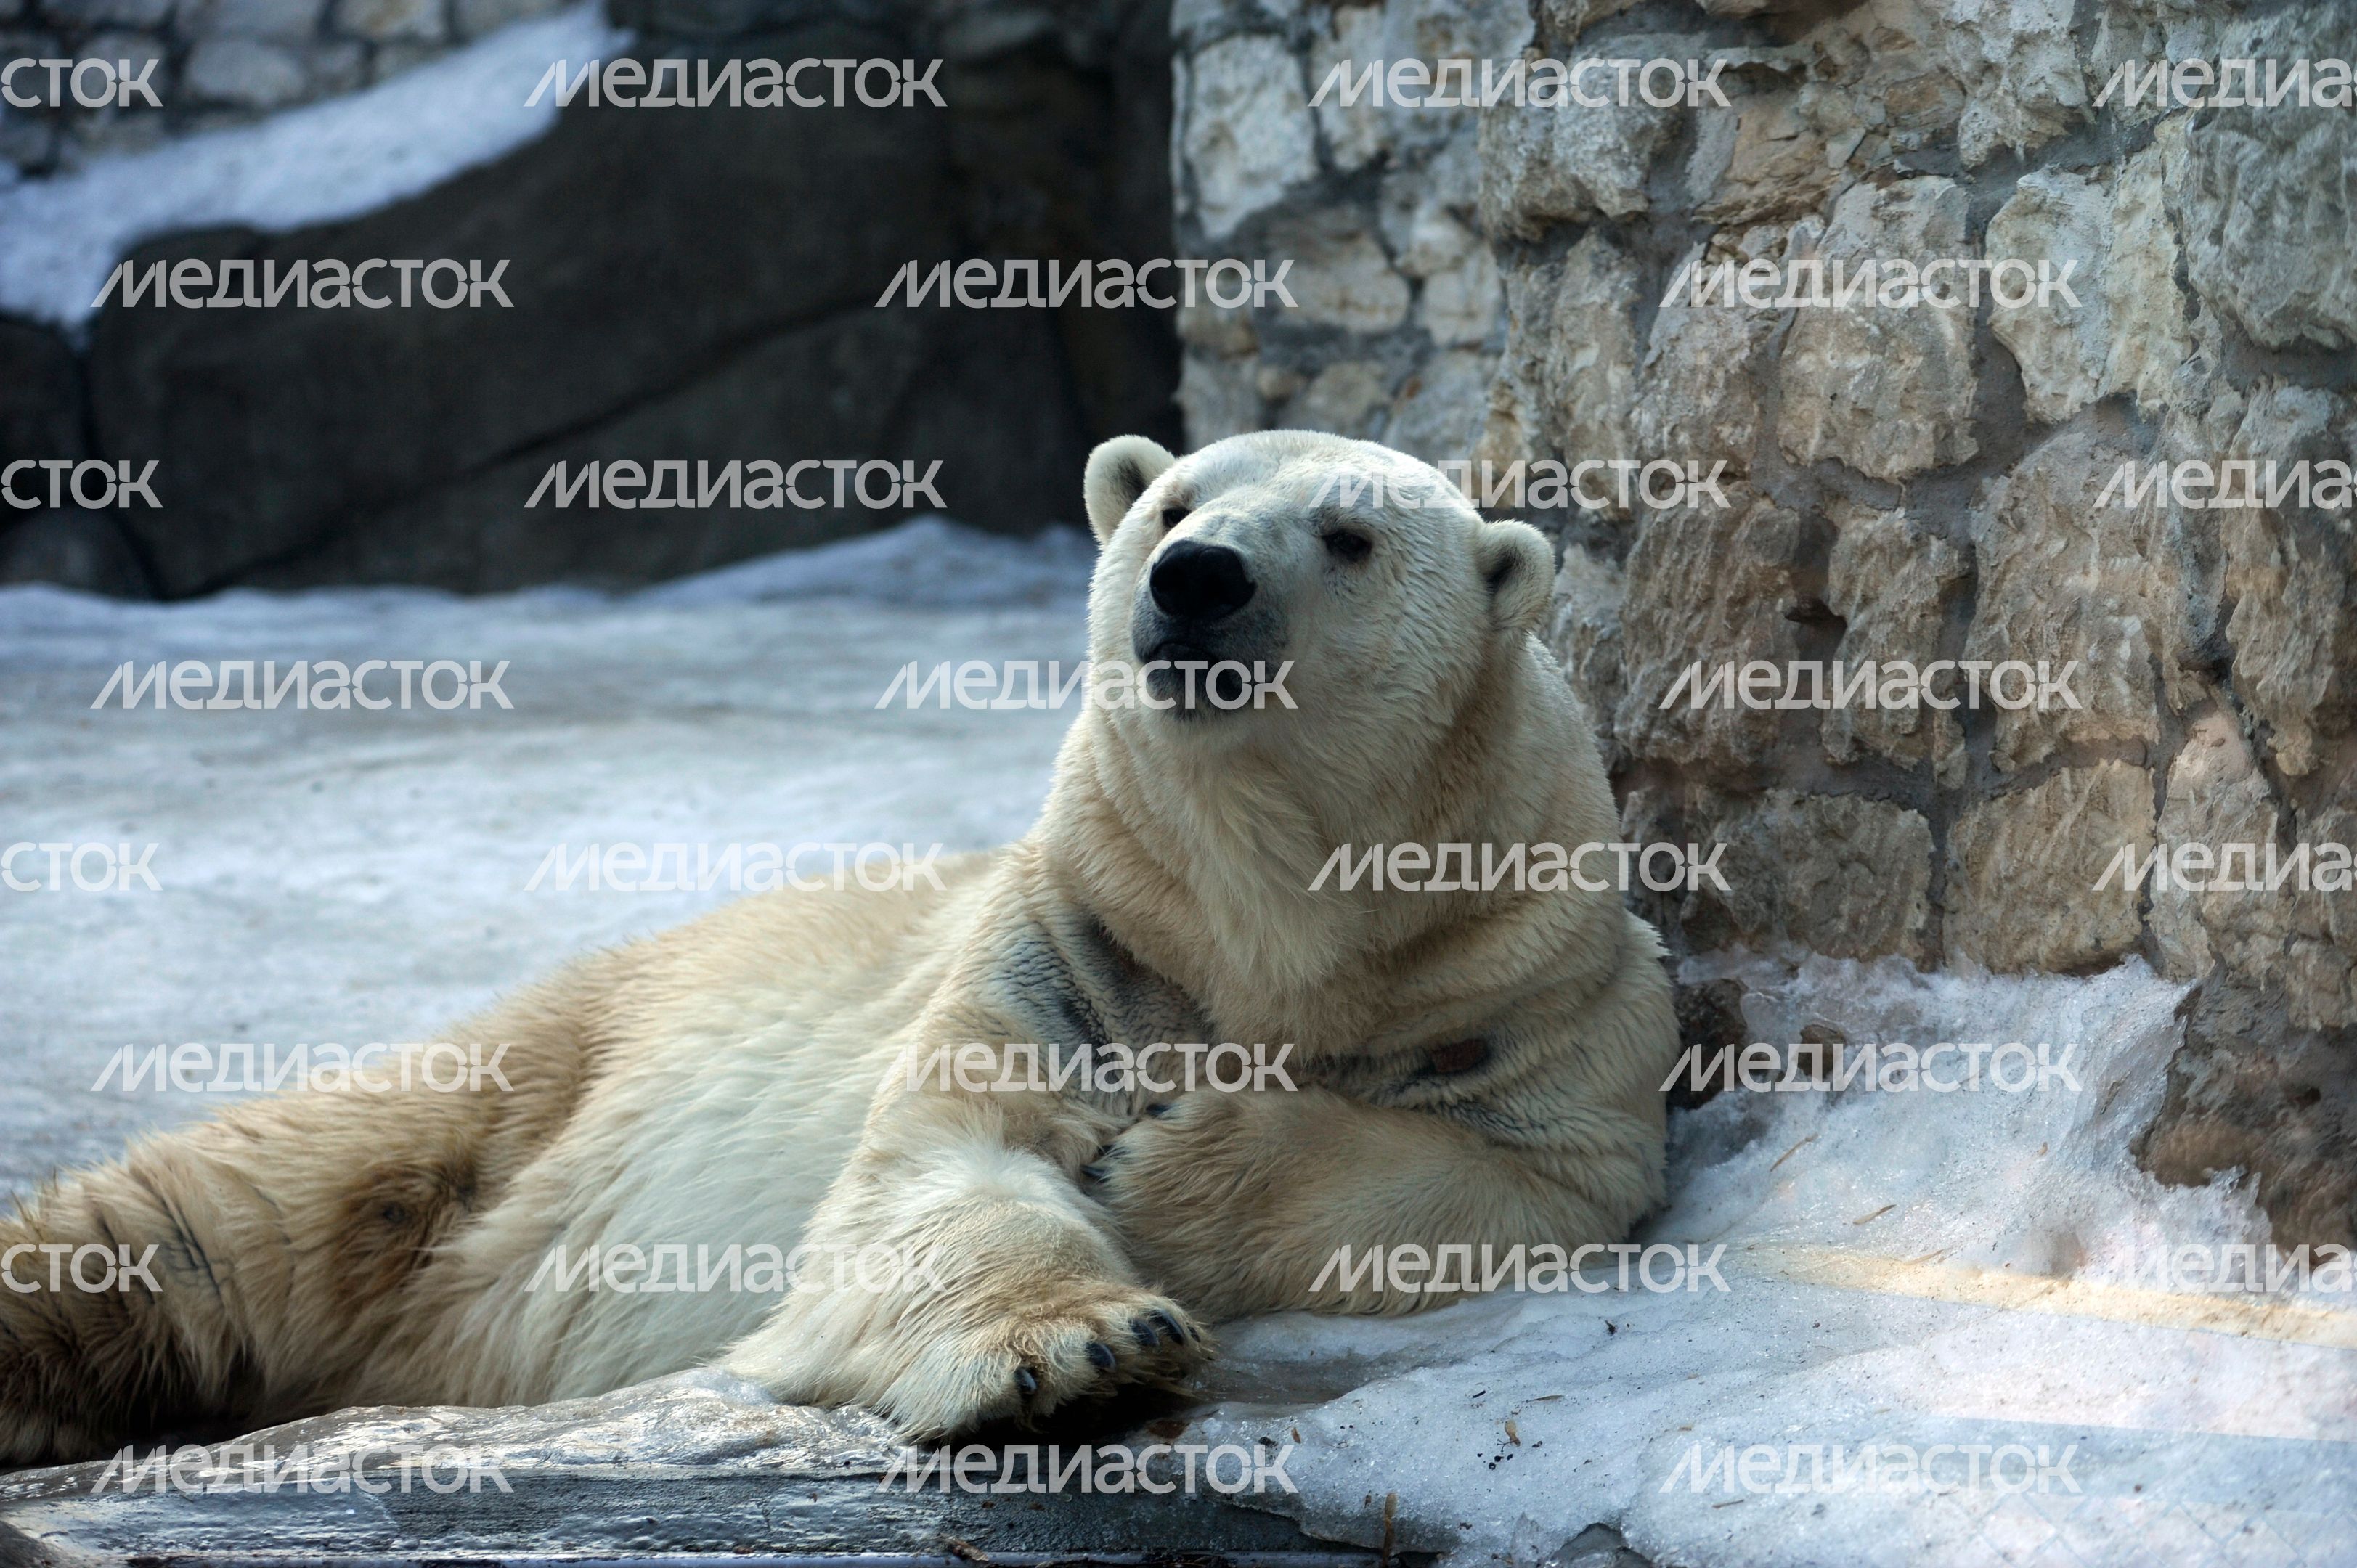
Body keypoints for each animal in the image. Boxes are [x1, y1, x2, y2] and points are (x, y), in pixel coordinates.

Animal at [0, 430, 1680, 1467]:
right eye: (1170, 499)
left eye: (1348, 533)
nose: (1196, 578)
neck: (1267, 918)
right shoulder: (1065, 948)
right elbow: (936, 1172)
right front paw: (1082, 1349)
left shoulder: (1530, 974)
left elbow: (1510, 1179)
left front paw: (1157, 1176)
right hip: (535, 1076)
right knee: (231, 1214)